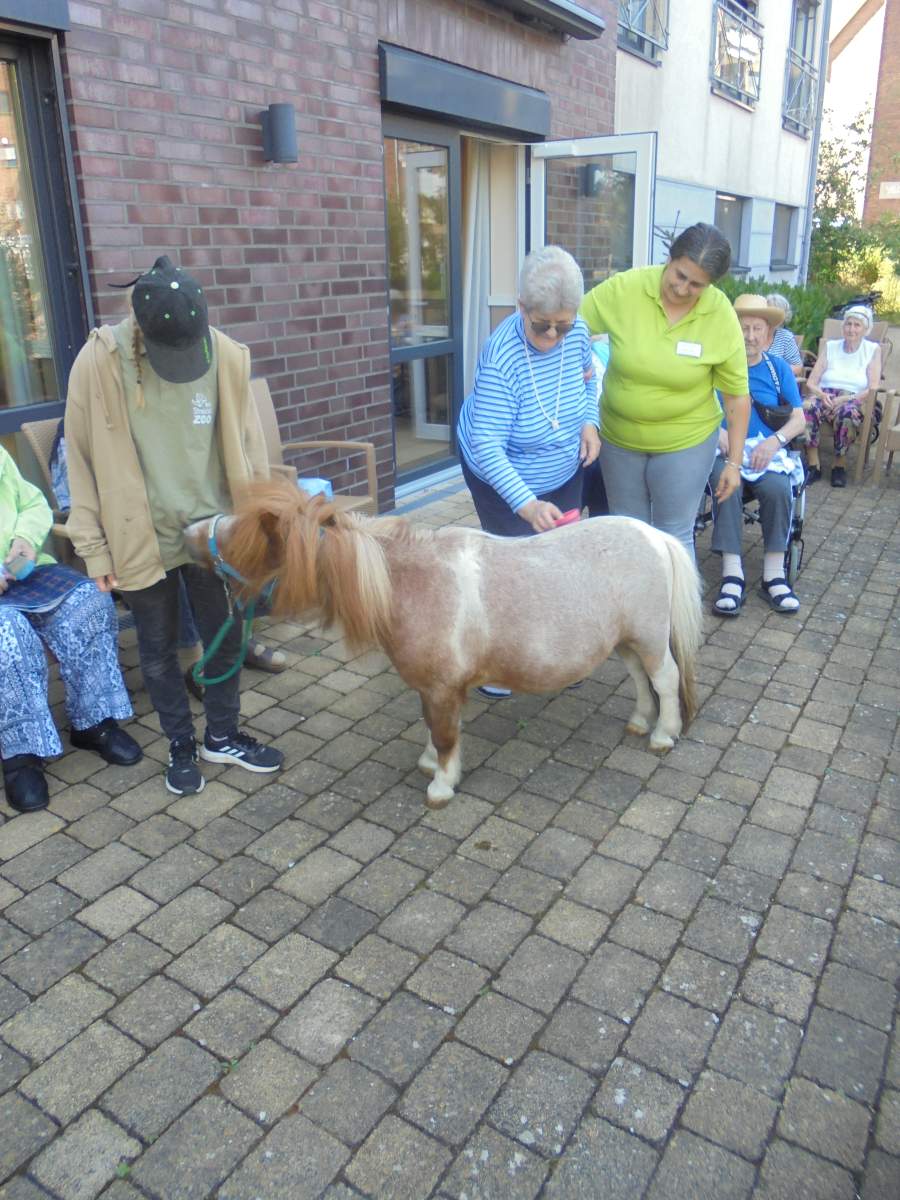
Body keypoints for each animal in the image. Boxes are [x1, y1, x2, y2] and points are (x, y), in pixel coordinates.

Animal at [184, 479, 703, 809]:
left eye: (242, 535)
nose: (188, 534)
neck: (408, 582)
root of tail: (654, 535)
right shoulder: (431, 689)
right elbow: (432, 729)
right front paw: (430, 764)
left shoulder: (441, 689)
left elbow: (445, 734)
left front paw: (441, 785)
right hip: (627, 641)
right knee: (640, 680)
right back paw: (640, 722)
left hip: (650, 638)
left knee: (665, 679)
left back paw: (663, 734)